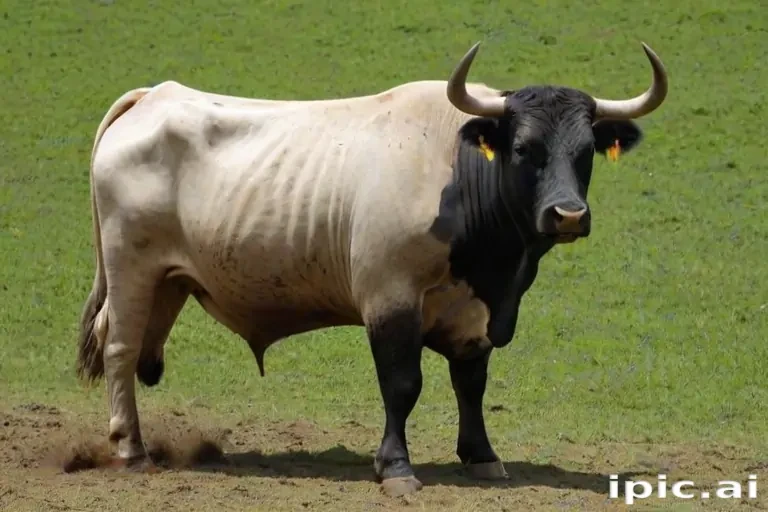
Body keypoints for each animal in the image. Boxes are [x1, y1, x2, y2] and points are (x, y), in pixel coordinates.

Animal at [76, 41, 668, 496]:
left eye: (587, 151)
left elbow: (471, 382)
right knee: (120, 347)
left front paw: (481, 456)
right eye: (523, 148)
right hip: (131, 268)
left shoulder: (475, 311)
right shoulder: (390, 297)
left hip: (167, 280)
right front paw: (396, 467)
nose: (568, 215)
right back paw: (130, 449)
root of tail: (155, 96)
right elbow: (402, 383)